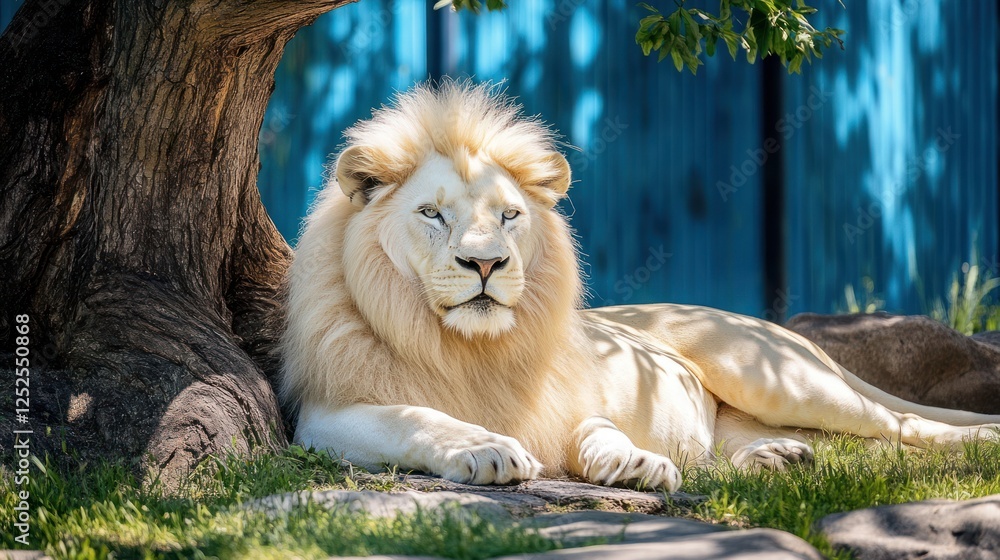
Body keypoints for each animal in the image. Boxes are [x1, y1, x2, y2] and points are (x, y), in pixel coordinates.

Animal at [280, 80, 1000, 491]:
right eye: (432, 214)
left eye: (509, 215)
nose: (486, 264)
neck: (470, 347)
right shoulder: (323, 414)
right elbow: (414, 416)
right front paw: (485, 448)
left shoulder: (568, 399)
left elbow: (598, 429)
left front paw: (634, 464)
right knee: (799, 439)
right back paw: (774, 457)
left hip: (774, 376)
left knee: (900, 423)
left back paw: (979, 442)